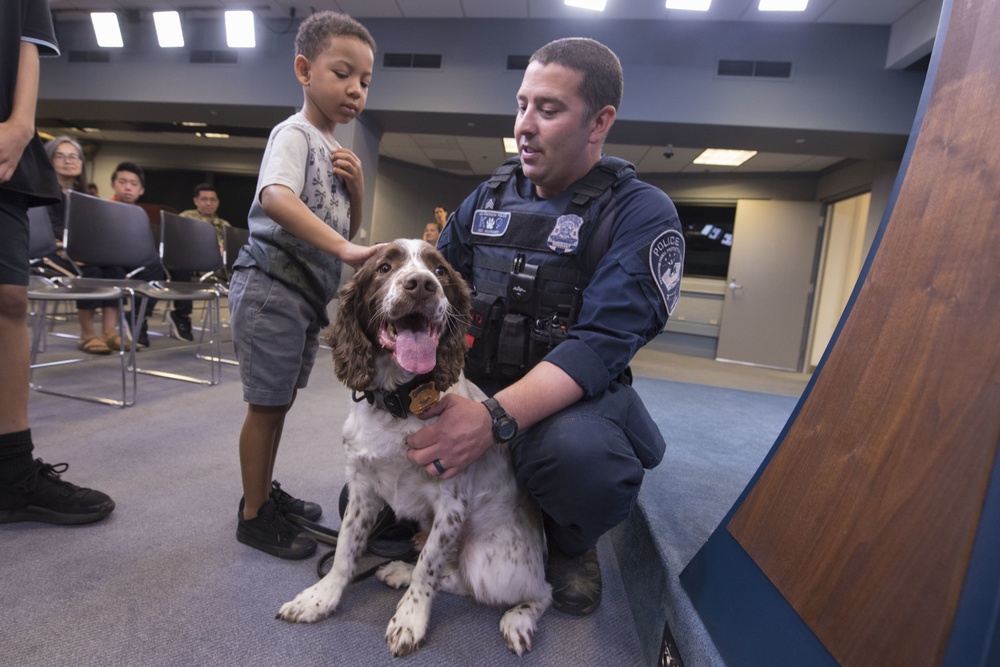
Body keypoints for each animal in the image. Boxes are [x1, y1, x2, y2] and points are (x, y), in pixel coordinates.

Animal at [278, 240, 552, 656]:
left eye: (440, 271)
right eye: (384, 266)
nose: (421, 284)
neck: (399, 401)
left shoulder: (451, 506)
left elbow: (428, 567)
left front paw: (410, 618)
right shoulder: (363, 491)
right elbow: (345, 549)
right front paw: (320, 597)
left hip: (489, 560)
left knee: (535, 591)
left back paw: (517, 620)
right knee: (454, 576)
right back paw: (398, 571)